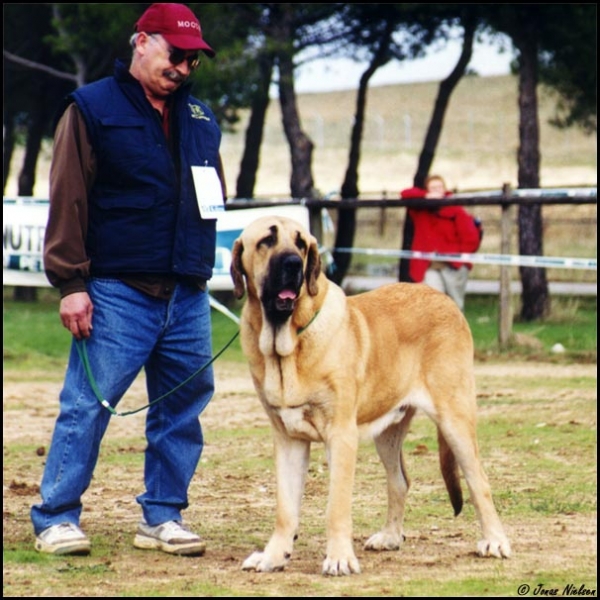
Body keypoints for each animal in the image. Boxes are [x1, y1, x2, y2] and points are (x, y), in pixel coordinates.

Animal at [231, 216, 510, 576]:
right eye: (267, 241)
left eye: (301, 244)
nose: (294, 264)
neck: (287, 341)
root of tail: (445, 299)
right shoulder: (288, 439)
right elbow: (286, 508)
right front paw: (273, 556)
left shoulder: (341, 436)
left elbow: (336, 507)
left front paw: (338, 558)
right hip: (388, 431)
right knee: (400, 481)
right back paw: (390, 536)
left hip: (455, 420)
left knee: (479, 482)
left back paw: (495, 541)